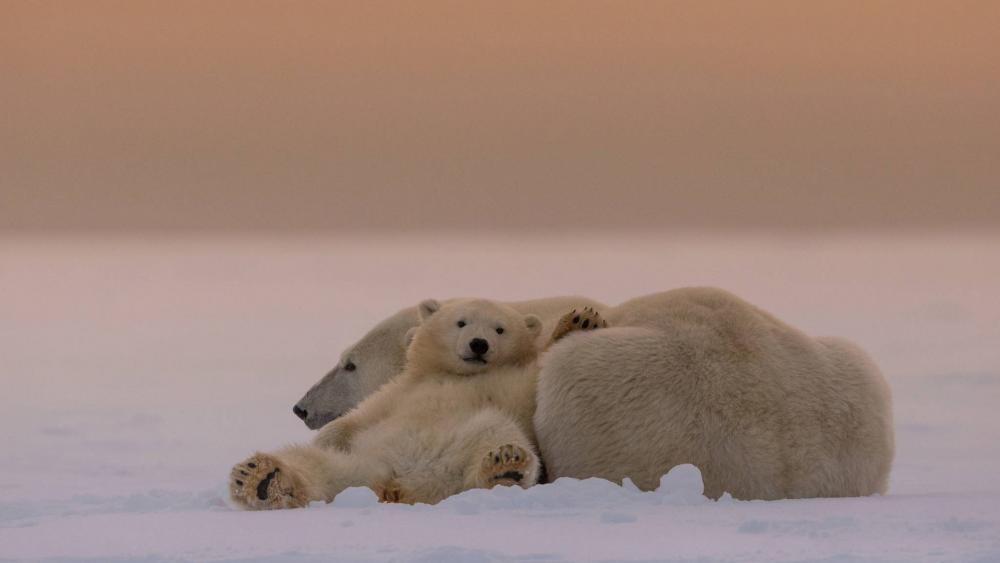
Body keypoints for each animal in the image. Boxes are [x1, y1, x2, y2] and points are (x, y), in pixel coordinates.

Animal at [229, 298, 600, 508]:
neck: (452, 374)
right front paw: (578, 320)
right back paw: (259, 477)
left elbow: (537, 375)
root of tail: (395, 484)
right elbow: (360, 417)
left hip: (470, 440)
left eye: (500, 329)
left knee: (497, 435)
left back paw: (504, 465)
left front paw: (581, 321)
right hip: (361, 462)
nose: (478, 344)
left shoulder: (515, 383)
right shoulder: (402, 388)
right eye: (461, 322)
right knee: (312, 462)